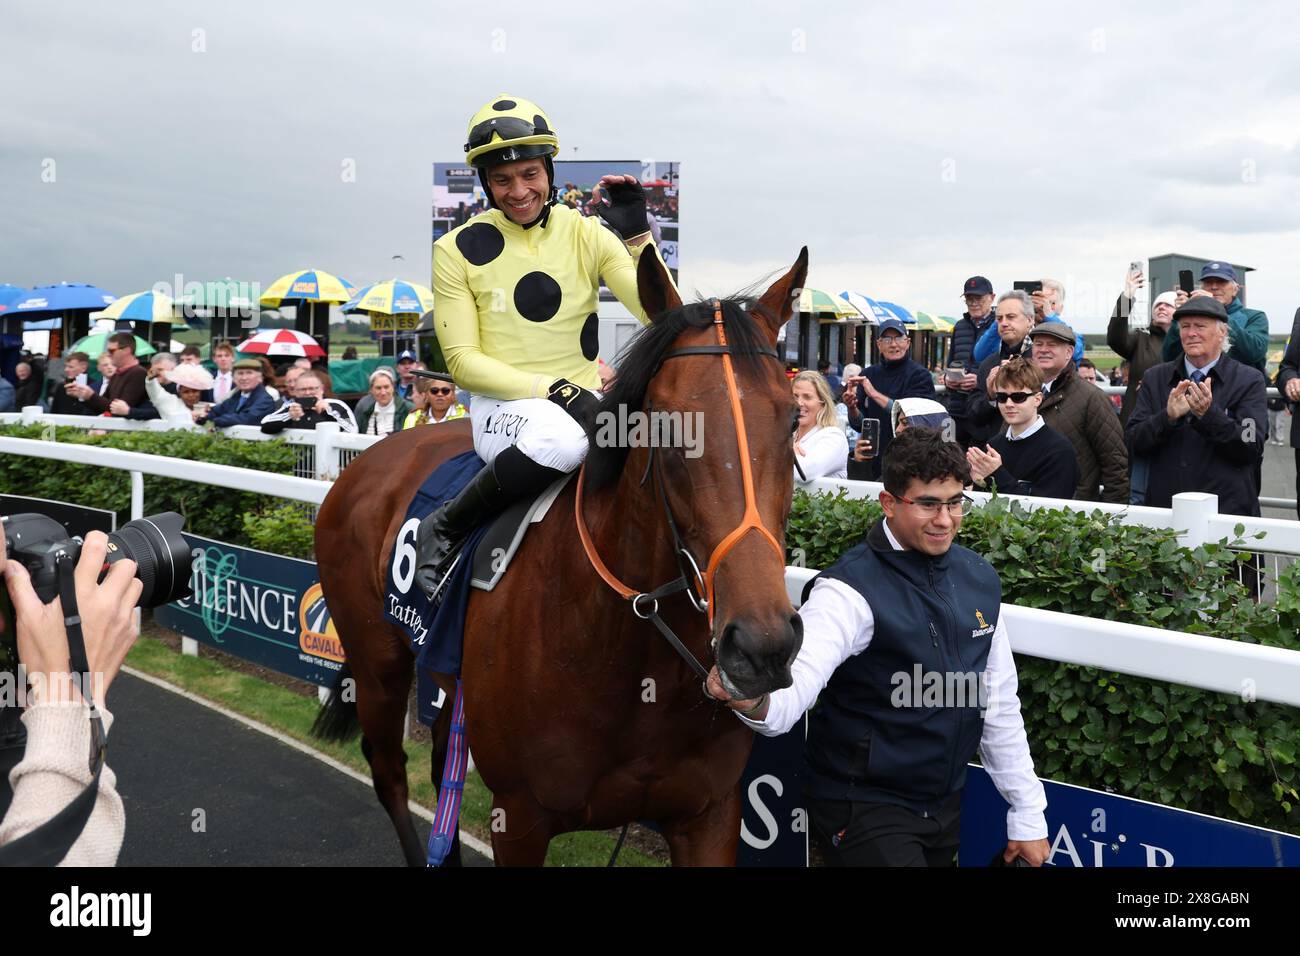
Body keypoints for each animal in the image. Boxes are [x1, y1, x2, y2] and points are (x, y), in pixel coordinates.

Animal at [309, 247, 806, 868]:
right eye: (666, 424)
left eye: (793, 418)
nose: (762, 644)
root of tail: (366, 461)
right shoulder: (520, 816)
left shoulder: (709, 814)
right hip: (377, 662)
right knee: (390, 772)